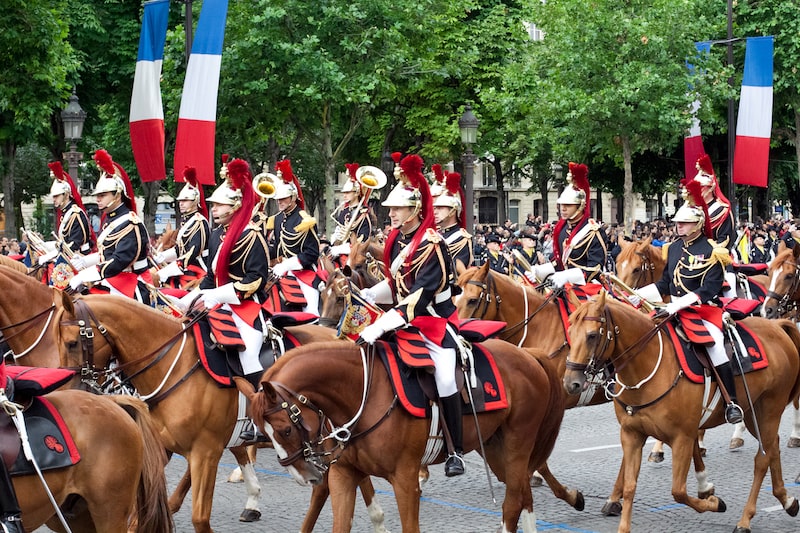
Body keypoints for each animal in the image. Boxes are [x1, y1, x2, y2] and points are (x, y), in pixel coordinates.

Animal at [247, 336, 564, 532]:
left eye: (285, 429)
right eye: (262, 433)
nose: (305, 477)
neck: (364, 393)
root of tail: (527, 354)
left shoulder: (405, 480)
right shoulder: (343, 475)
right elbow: (340, 523)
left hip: (517, 445)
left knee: (512, 503)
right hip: (497, 450)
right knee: (523, 496)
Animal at [564, 290, 800, 532]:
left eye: (592, 335)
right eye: (570, 332)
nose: (571, 382)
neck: (647, 367)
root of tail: (777, 326)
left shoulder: (682, 438)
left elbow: (678, 491)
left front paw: (715, 502)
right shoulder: (632, 434)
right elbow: (630, 486)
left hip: (770, 410)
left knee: (762, 459)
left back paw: (745, 519)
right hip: (754, 414)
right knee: (773, 447)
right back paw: (788, 501)